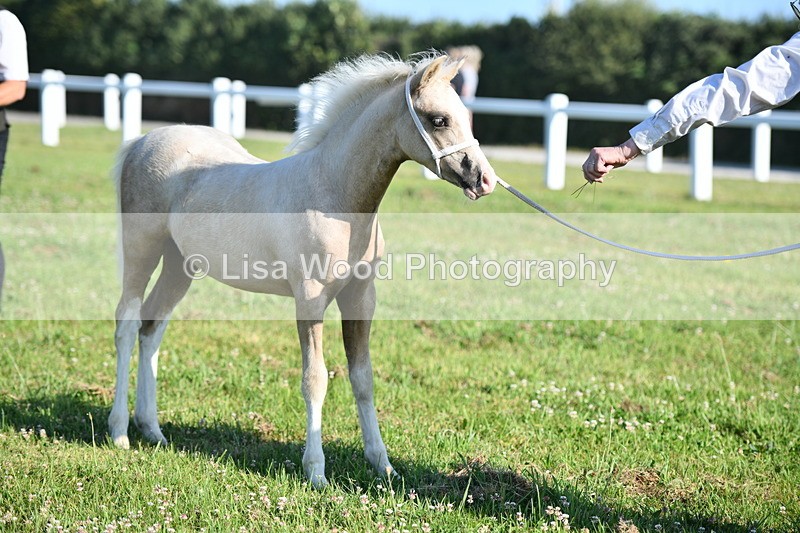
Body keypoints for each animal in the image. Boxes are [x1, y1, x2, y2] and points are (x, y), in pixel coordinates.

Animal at [108, 52, 498, 487]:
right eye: (438, 119)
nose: (484, 180)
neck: (333, 196)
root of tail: (142, 142)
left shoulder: (360, 298)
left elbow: (363, 378)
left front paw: (382, 464)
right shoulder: (309, 300)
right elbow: (315, 379)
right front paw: (316, 471)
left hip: (180, 264)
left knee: (152, 327)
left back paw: (152, 429)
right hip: (142, 249)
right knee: (127, 324)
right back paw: (120, 432)